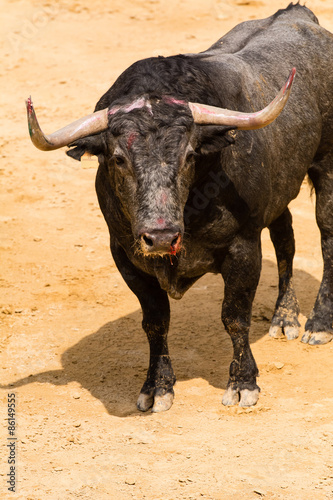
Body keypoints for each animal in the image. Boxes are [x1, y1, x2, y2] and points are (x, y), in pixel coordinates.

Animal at [26, 1, 332, 412]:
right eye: (118, 159)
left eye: (189, 155)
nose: (160, 237)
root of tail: (298, 14)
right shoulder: (125, 255)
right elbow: (155, 322)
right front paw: (157, 387)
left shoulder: (243, 246)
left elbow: (234, 316)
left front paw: (243, 383)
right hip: (280, 188)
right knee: (286, 238)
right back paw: (284, 318)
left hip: (327, 166)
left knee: (326, 237)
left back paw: (318, 324)